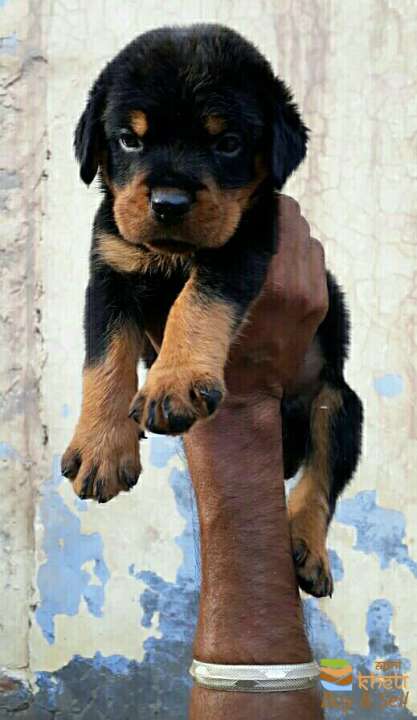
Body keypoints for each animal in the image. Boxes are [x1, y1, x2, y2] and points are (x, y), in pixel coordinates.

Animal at [61, 24, 363, 598]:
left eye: (227, 144)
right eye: (129, 139)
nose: (169, 203)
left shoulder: (244, 240)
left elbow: (197, 302)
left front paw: (174, 381)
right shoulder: (109, 269)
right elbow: (104, 359)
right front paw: (102, 446)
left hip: (339, 404)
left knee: (319, 480)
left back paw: (307, 551)